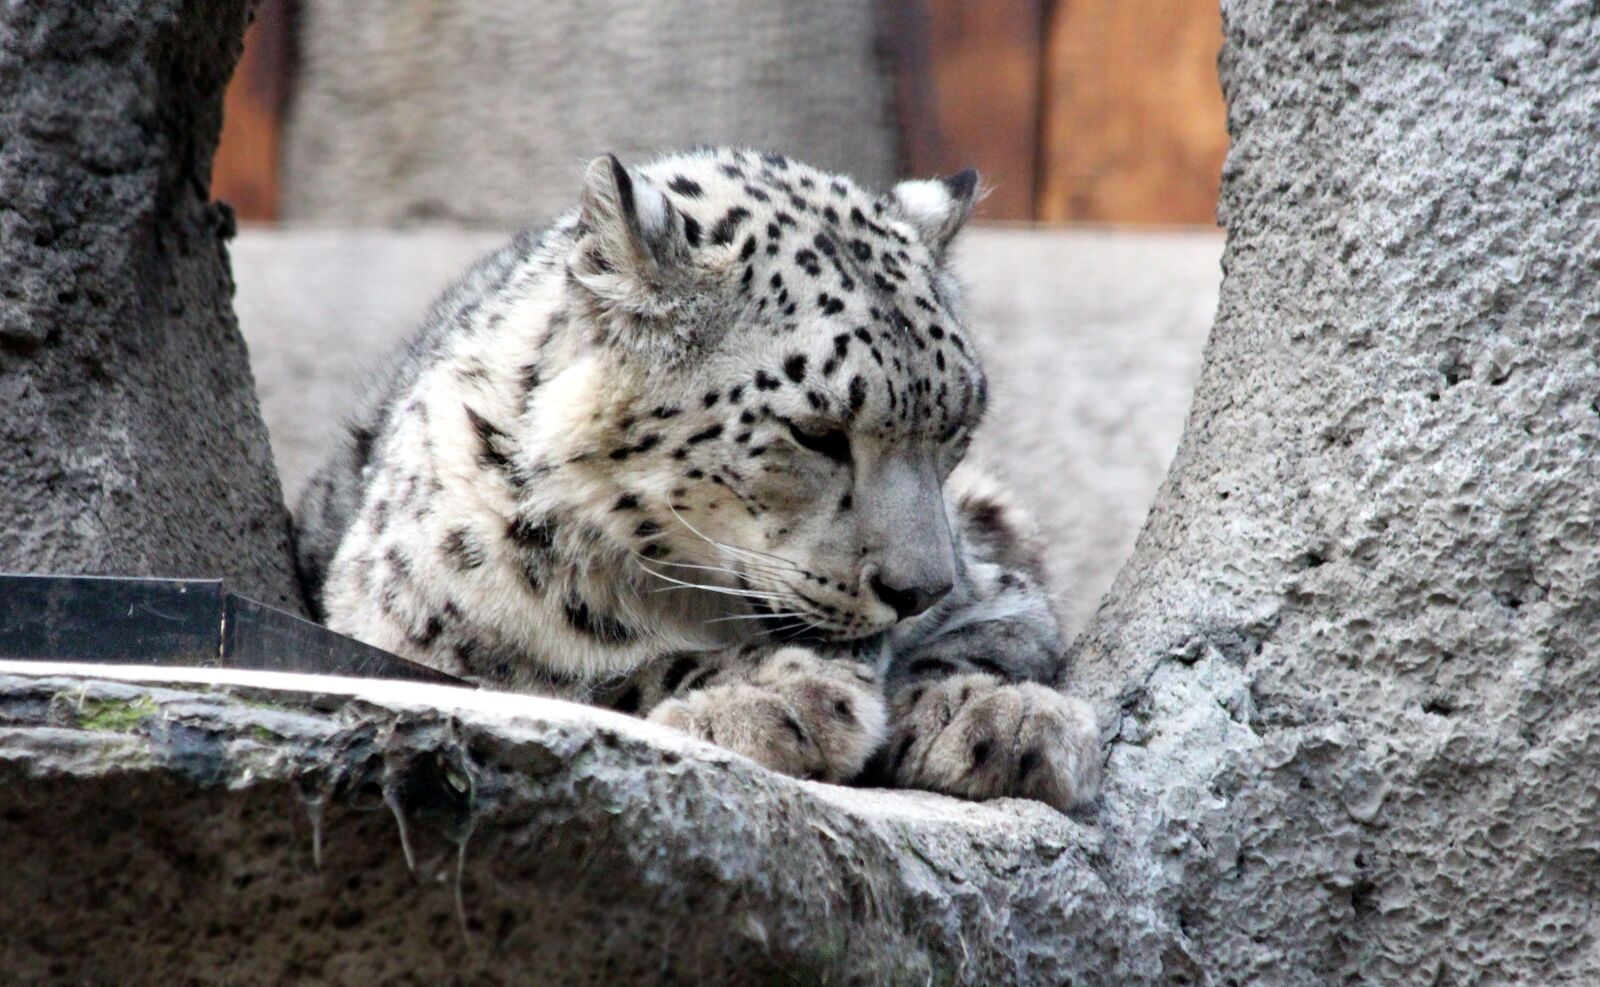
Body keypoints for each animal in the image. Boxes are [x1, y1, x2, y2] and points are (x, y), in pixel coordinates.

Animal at [293, 147, 1101, 811]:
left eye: (955, 427)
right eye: (817, 432)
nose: (919, 591)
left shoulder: (997, 582)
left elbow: (998, 633)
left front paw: (995, 716)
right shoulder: (409, 642)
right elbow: (586, 683)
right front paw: (781, 695)